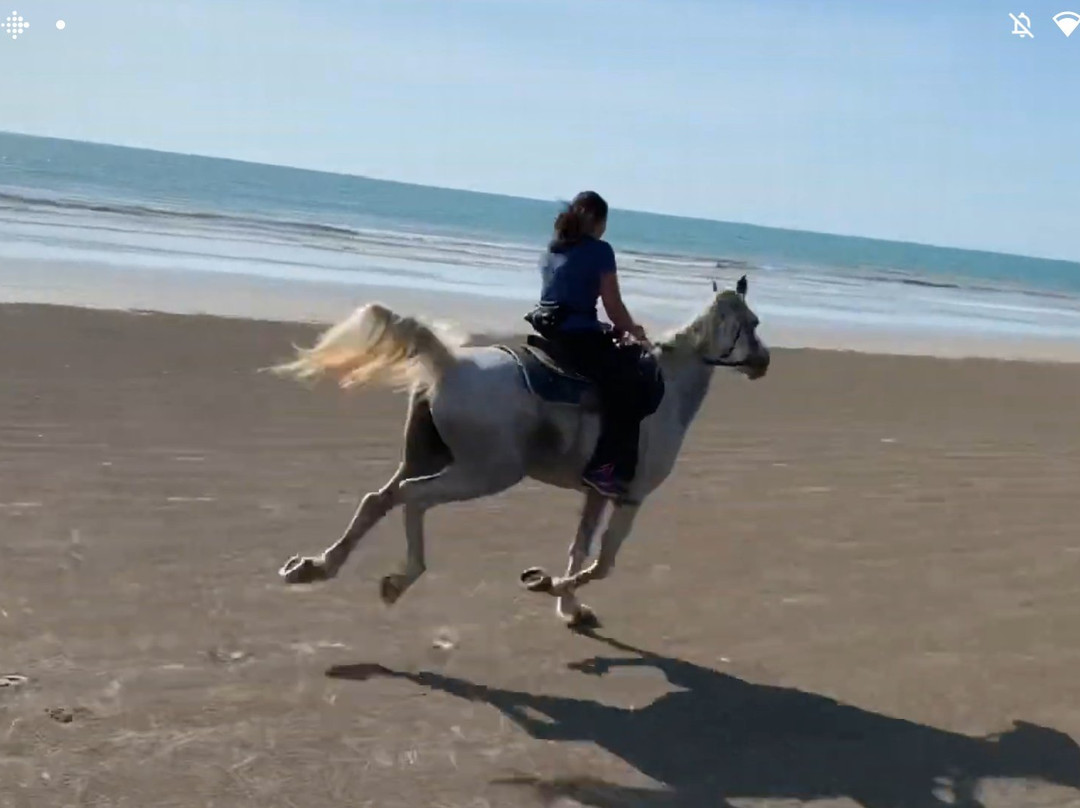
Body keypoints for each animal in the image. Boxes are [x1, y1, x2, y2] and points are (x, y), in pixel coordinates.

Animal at [271, 275, 770, 627]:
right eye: (753, 324)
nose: (763, 362)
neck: (666, 389)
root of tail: (451, 364)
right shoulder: (631, 498)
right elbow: (602, 563)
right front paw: (550, 586)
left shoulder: (596, 492)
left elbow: (579, 548)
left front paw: (570, 607)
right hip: (484, 473)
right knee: (413, 497)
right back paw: (399, 579)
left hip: (428, 456)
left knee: (379, 499)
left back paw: (314, 567)